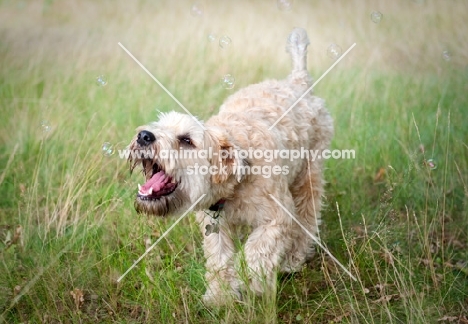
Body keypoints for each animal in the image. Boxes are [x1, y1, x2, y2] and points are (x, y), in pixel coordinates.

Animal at [127, 27, 332, 304]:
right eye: (159, 126)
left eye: (186, 140)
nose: (144, 136)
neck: (236, 179)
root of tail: (298, 82)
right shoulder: (215, 227)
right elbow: (220, 260)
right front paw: (219, 296)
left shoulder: (277, 218)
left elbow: (257, 252)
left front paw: (253, 285)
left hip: (308, 176)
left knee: (308, 218)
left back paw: (293, 259)